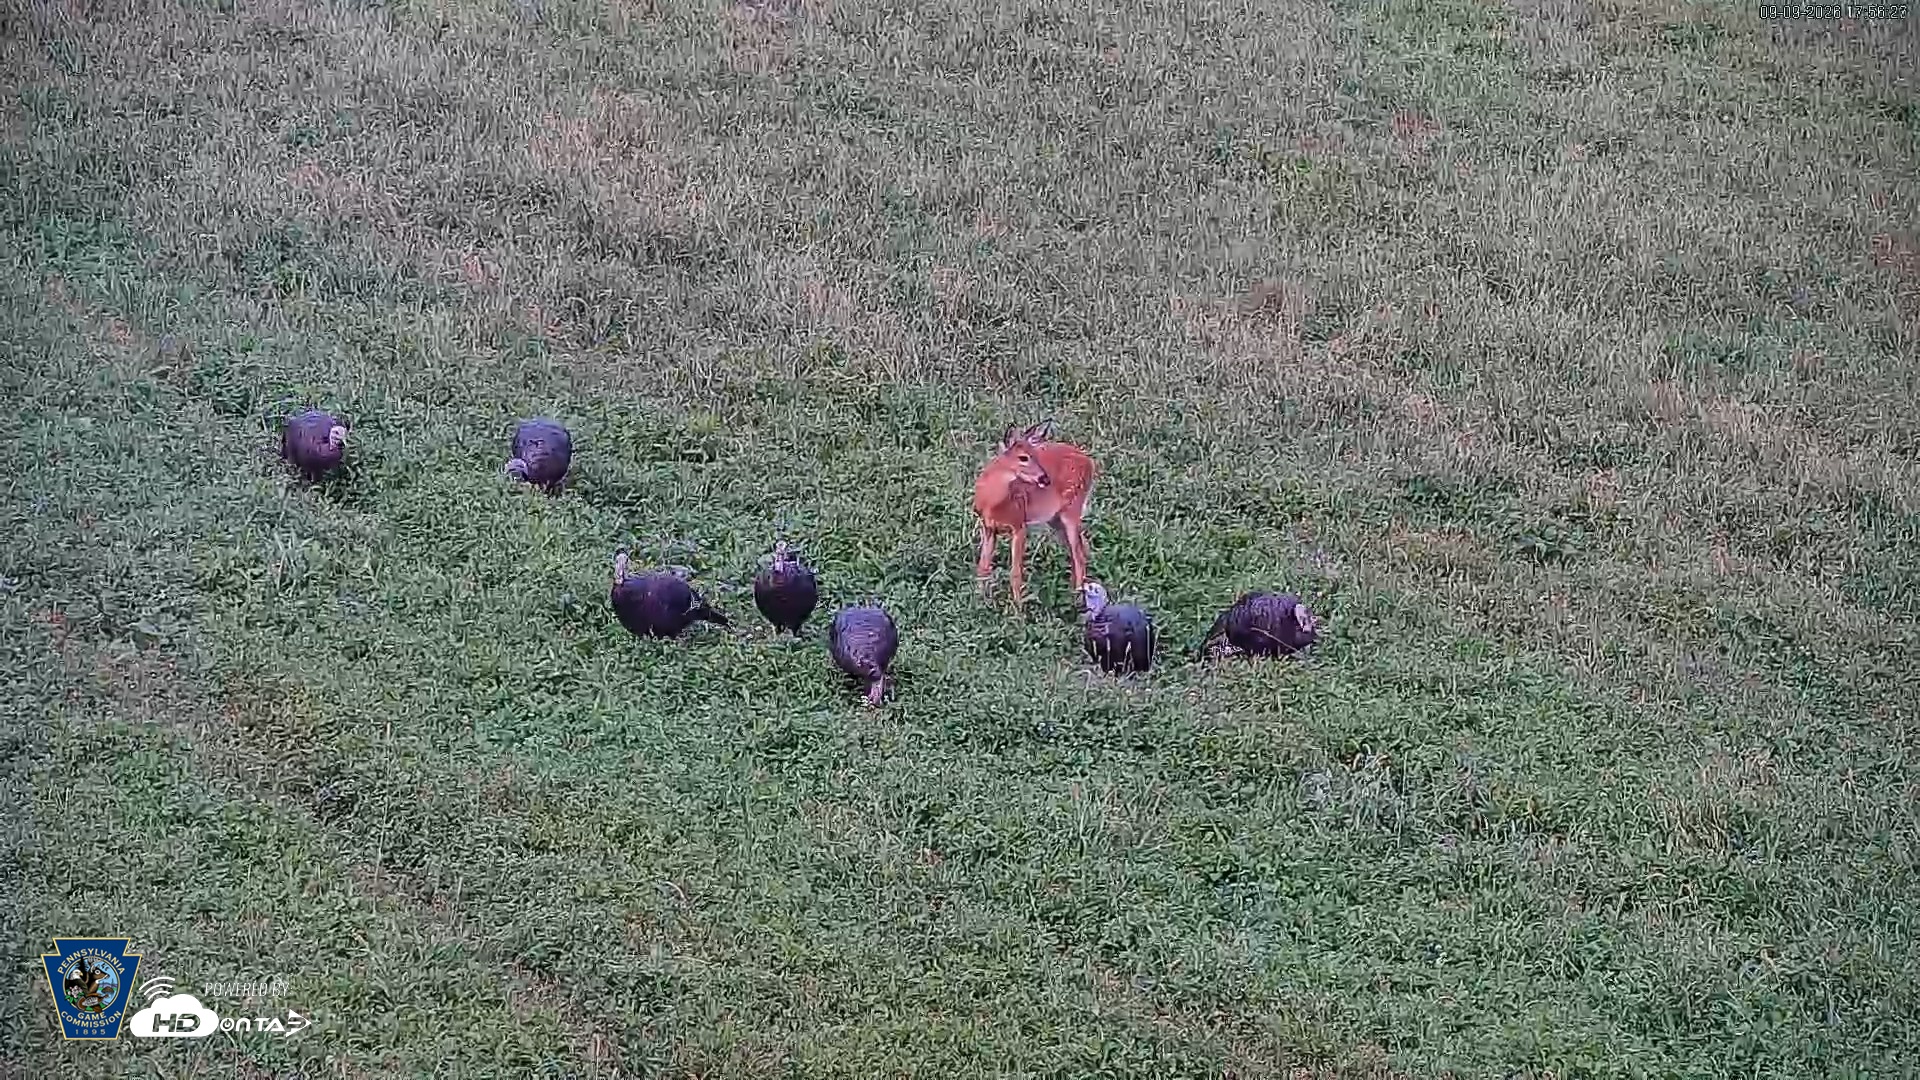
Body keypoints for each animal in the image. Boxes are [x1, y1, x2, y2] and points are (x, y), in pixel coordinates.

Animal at [971, 419, 1098, 606]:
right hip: (1055, 519)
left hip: (1072, 508)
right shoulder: (988, 527)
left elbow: (1016, 573)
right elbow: (983, 567)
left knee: (1079, 555)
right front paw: (979, 602)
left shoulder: (1019, 525)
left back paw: (1078, 599)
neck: (992, 502)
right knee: (1080, 549)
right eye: (1023, 457)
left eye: (1035, 456)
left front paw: (1018, 610)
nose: (1045, 479)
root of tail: (1090, 462)